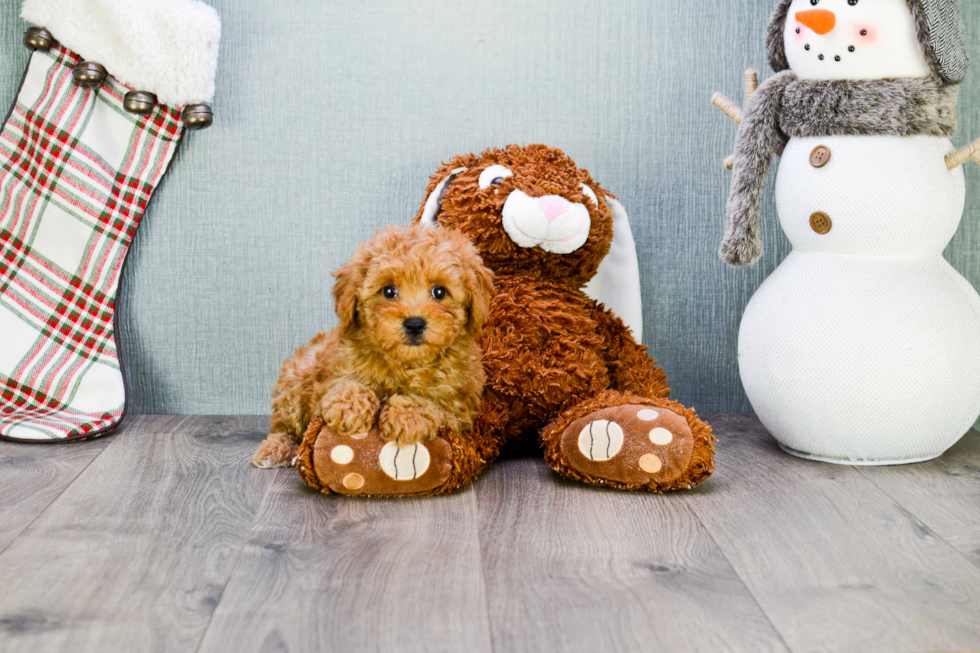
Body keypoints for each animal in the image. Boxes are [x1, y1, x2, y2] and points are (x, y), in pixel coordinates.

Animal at [253, 222, 494, 466]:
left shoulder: (460, 406)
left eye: (439, 291)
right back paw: (275, 449)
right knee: (284, 426)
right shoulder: (334, 371)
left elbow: (435, 402)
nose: (415, 324)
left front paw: (406, 415)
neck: (404, 362)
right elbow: (344, 384)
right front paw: (350, 406)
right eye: (388, 291)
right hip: (295, 379)